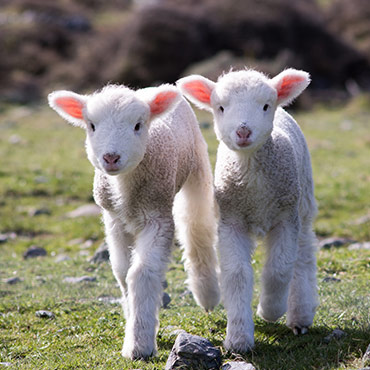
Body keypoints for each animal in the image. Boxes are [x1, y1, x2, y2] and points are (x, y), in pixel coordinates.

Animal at [46, 83, 220, 358]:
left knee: (196, 226)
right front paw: (131, 321)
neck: (125, 191)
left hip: (197, 166)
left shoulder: (158, 218)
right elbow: (122, 271)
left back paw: (207, 295)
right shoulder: (114, 220)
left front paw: (139, 344)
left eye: (138, 125)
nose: (111, 157)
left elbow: (141, 273)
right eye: (91, 125)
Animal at [178, 68, 320, 352]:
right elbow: (236, 274)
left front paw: (270, 311)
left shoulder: (286, 217)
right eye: (220, 108)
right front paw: (238, 339)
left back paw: (300, 315)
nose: (243, 131)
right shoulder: (231, 221)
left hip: (303, 201)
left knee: (303, 255)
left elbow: (279, 267)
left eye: (265, 106)